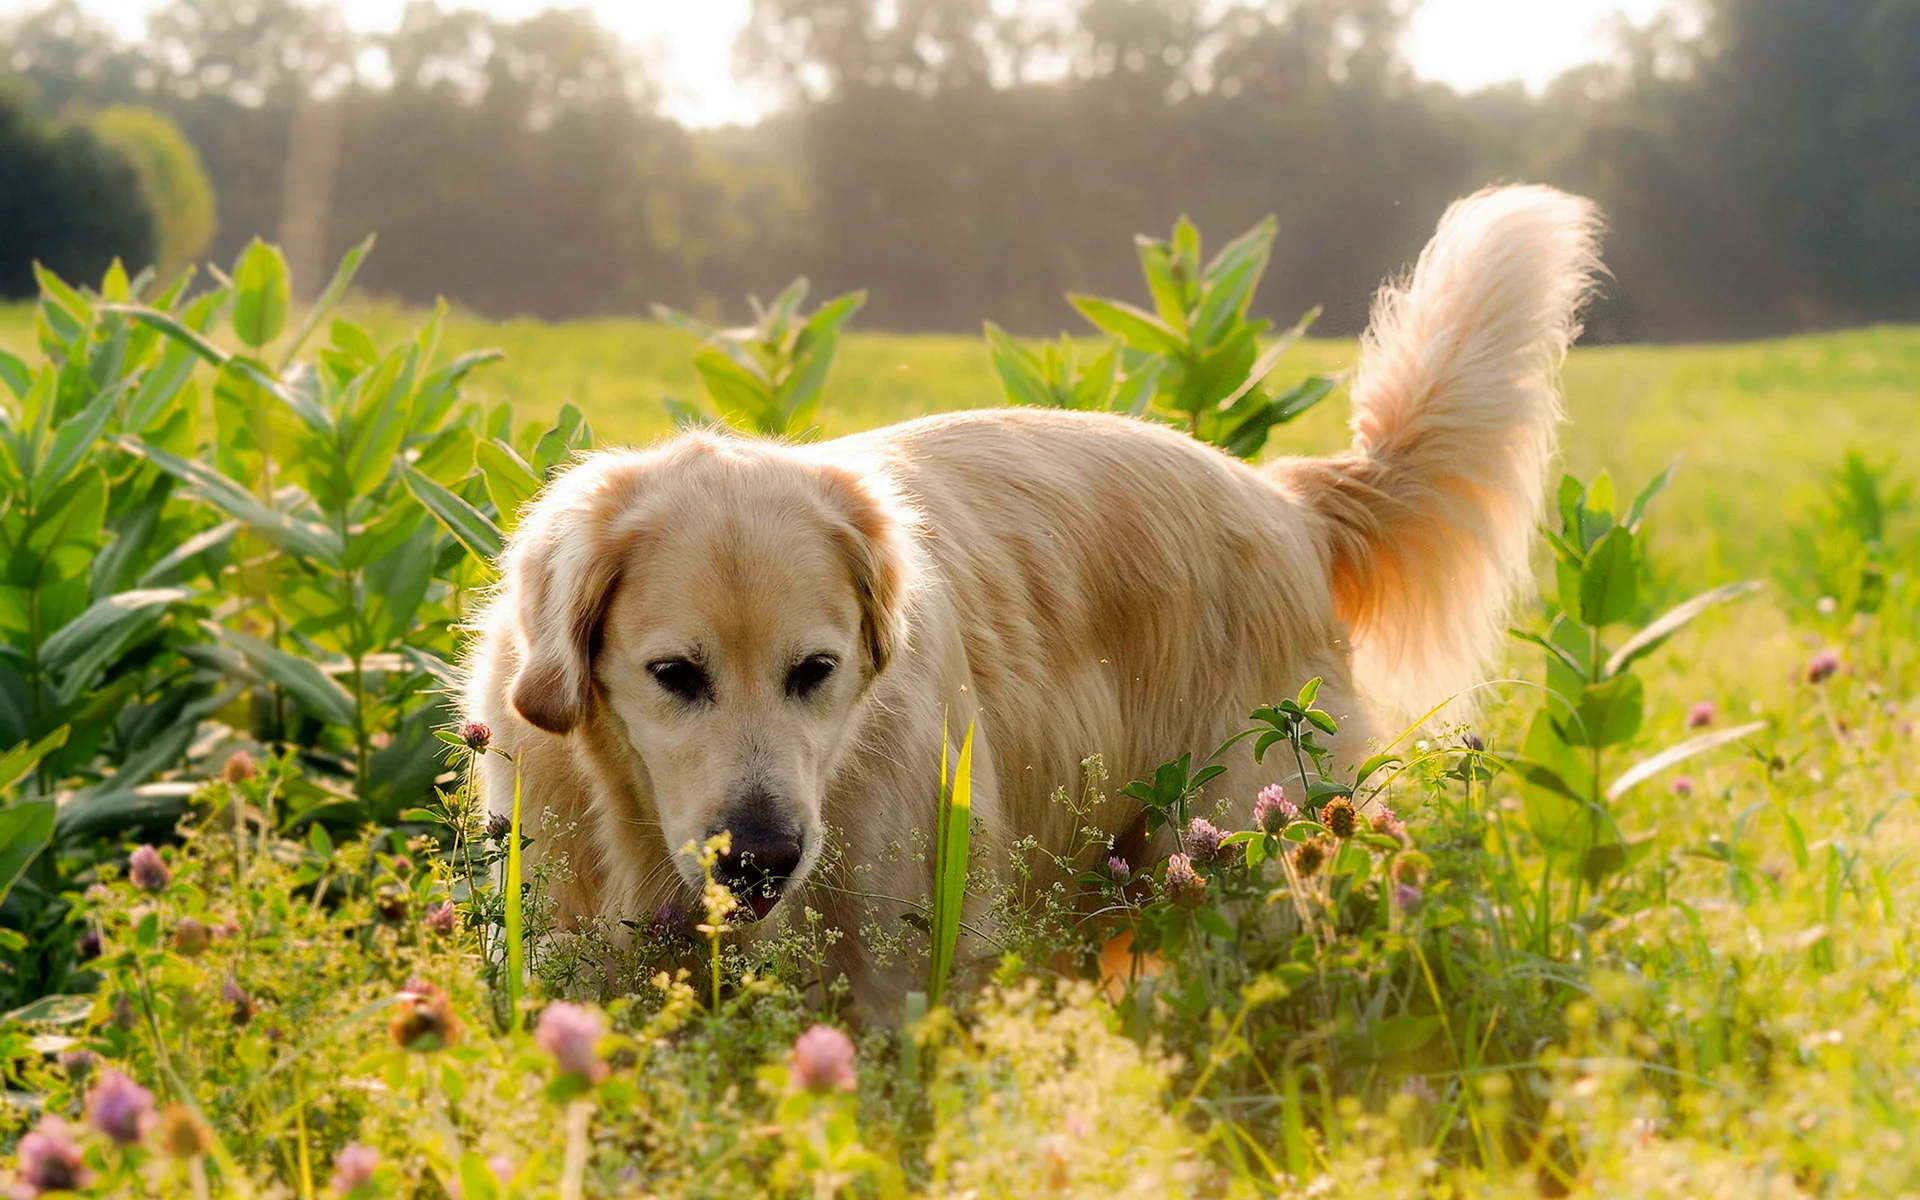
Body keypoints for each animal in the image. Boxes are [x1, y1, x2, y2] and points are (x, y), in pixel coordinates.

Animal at [464, 187, 1605, 1006]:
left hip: (1241, 859)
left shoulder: (901, 973)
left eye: (815, 672)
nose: (763, 861)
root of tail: (1284, 496)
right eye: (674, 675)